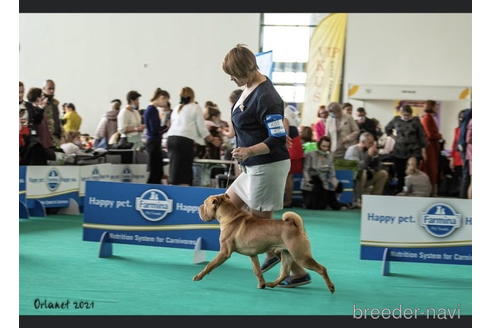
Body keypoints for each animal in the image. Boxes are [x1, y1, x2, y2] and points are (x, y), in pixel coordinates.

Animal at [194, 193, 336, 294]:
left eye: (204, 204)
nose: (199, 207)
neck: (230, 216)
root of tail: (295, 226)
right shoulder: (253, 255)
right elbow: (257, 271)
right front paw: (261, 284)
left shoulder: (224, 252)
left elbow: (210, 265)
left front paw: (199, 276)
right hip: (286, 254)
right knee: (284, 273)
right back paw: (272, 284)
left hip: (300, 256)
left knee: (322, 269)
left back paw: (331, 287)